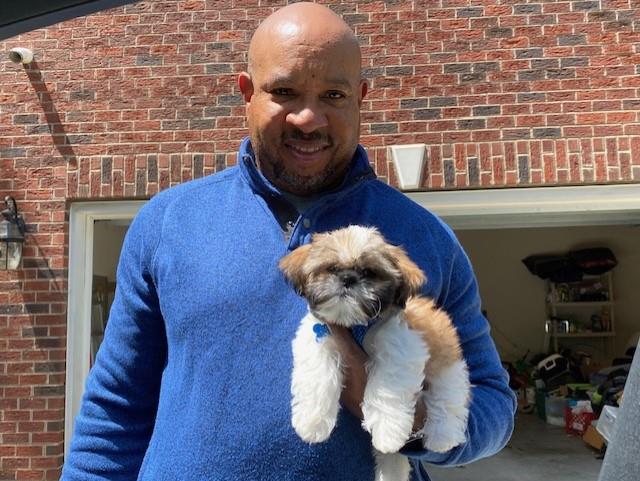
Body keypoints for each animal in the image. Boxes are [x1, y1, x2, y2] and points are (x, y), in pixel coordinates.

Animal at [280, 225, 470, 480]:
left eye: (368, 272)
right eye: (332, 268)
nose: (348, 279)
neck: (354, 324)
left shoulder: (401, 347)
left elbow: (386, 388)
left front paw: (387, 431)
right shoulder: (318, 336)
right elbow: (317, 375)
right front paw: (312, 422)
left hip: (447, 362)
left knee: (448, 397)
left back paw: (442, 436)